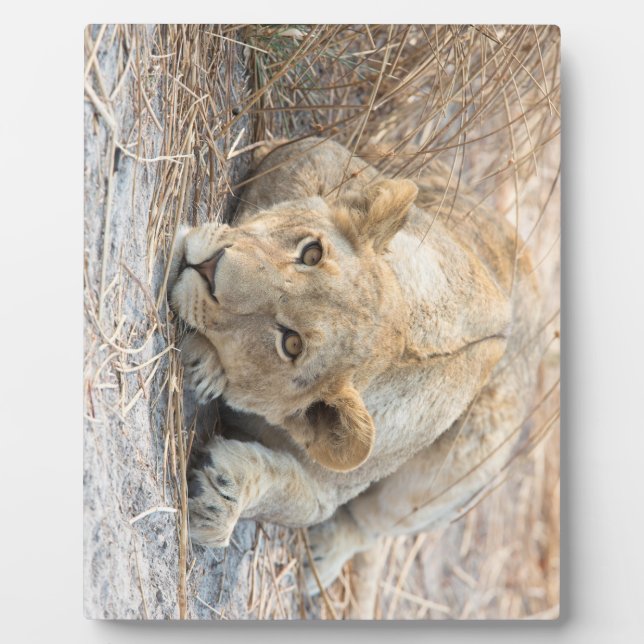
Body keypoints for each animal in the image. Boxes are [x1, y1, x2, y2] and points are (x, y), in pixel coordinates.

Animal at [168, 137, 543, 617]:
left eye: (291, 344)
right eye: (312, 252)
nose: (210, 267)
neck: (404, 337)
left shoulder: (326, 491)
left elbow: (286, 491)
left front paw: (220, 498)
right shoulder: (319, 154)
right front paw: (209, 368)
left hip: (473, 456)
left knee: (375, 526)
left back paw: (326, 554)